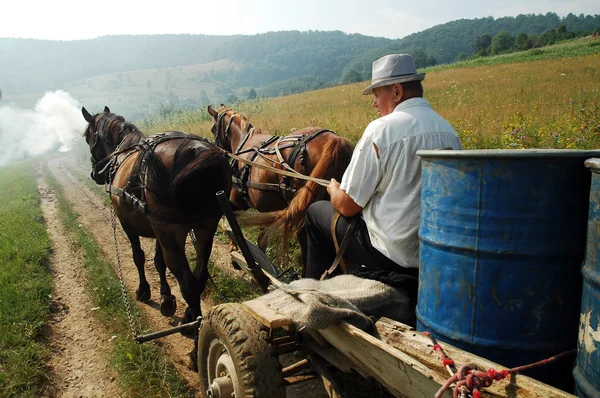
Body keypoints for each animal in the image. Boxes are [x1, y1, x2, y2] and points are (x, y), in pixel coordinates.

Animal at [79, 106, 230, 326]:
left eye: (88, 138)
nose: (95, 173)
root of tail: (196, 150)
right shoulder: (157, 228)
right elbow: (158, 261)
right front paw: (166, 297)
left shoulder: (128, 225)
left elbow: (139, 257)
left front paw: (144, 291)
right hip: (204, 228)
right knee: (200, 276)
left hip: (172, 234)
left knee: (187, 283)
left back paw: (191, 325)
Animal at [209, 105, 354, 274]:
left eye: (213, 129)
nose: (219, 151)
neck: (244, 142)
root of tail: (334, 141)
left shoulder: (240, 200)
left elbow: (235, 223)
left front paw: (237, 254)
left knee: (306, 246)